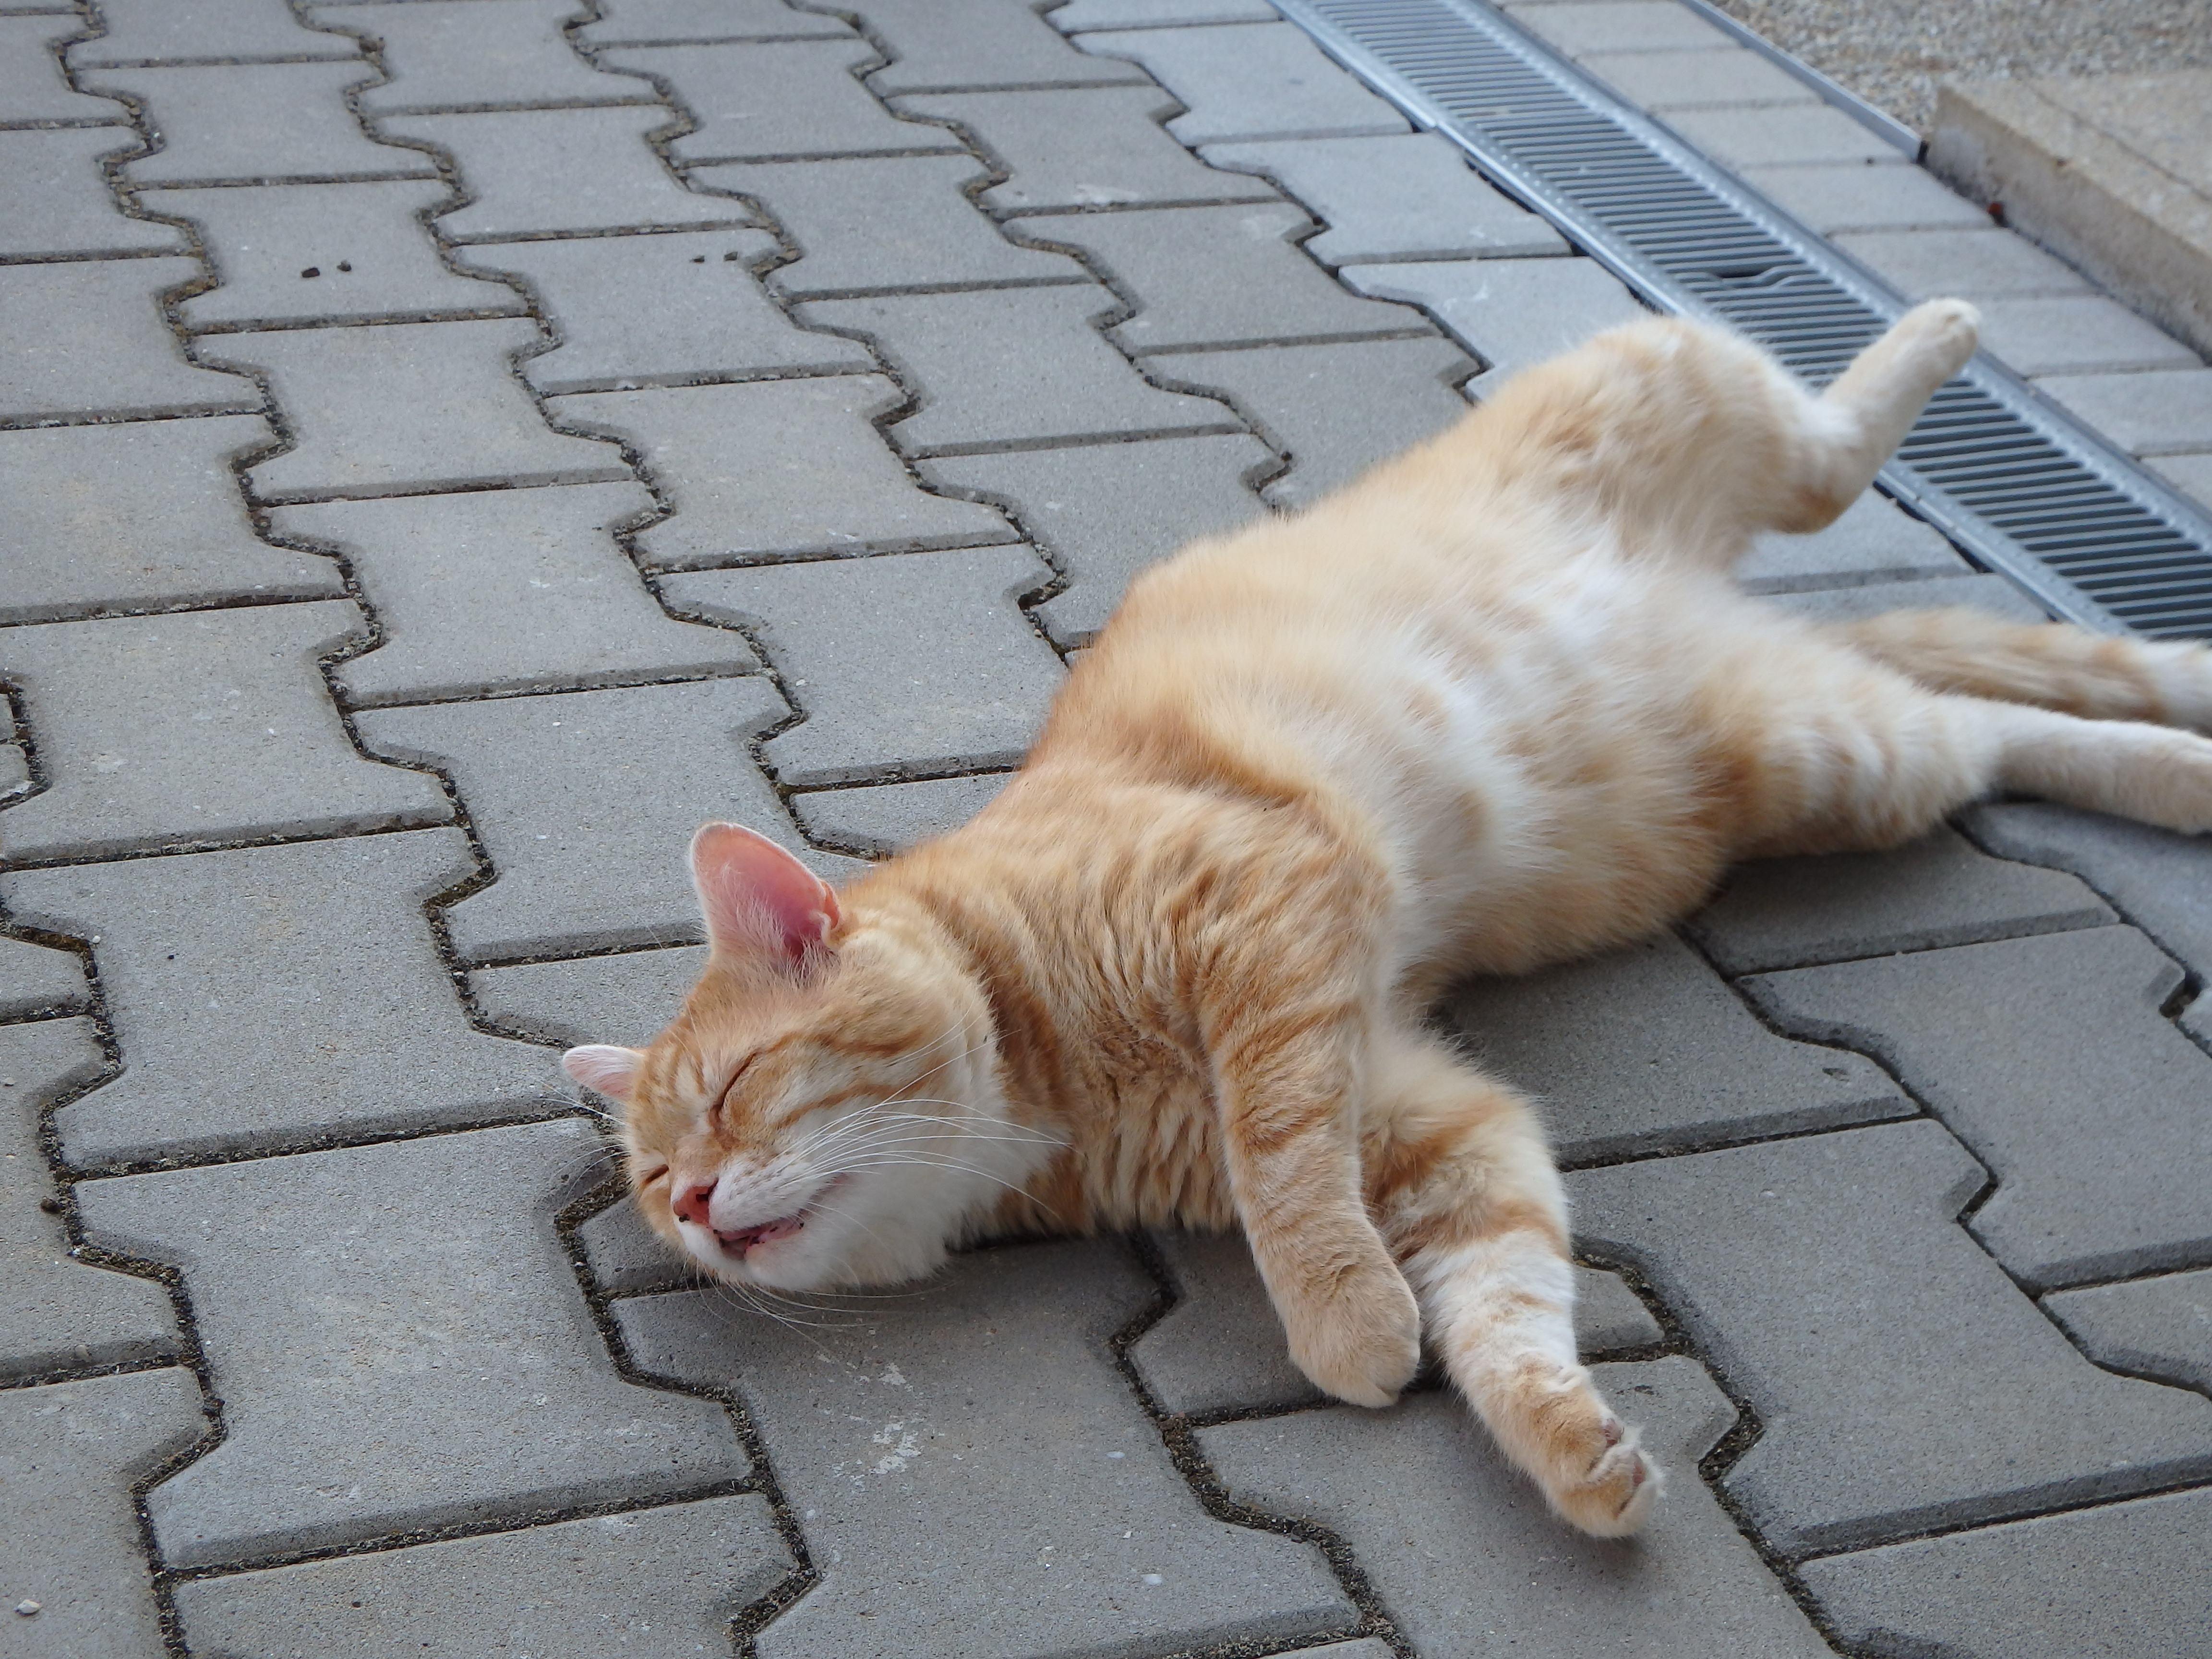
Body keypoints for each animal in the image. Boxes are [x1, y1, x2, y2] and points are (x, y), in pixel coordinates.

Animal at [563, 299, 2212, 1537]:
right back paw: (2186, 745)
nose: (696, 1206)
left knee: (1838, 460)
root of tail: (1712, 605)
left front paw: (1342, 1318)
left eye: (729, 1094)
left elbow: (1287, 1169)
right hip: (1839, 751)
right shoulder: (1437, 1122)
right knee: (1998, 713)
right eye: (648, 1177)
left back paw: (1947, 338)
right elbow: (1507, 1298)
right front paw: (1564, 1445)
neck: (1037, 1076)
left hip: (1701, 418)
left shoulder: (1272, 928)